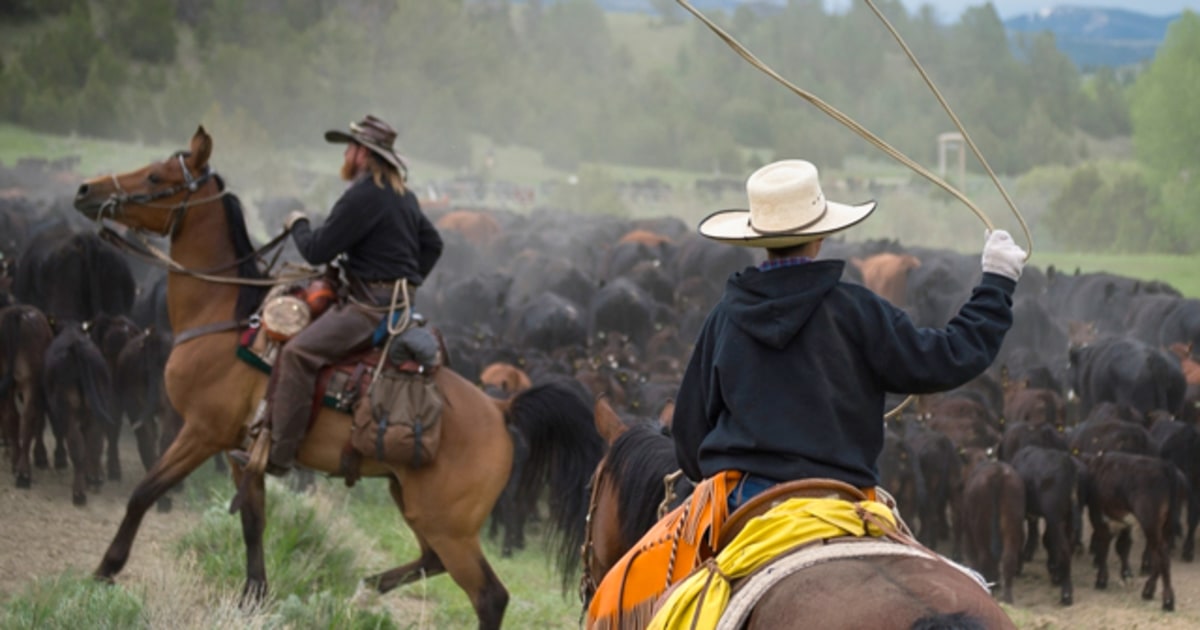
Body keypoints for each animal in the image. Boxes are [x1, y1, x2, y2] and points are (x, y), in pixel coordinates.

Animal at [70, 125, 604, 624]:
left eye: (155, 177)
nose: (85, 190)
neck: (225, 316)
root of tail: (500, 407)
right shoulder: (243, 449)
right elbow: (252, 521)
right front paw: (254, 596)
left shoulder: (203, 433)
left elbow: (144, 493)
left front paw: (104, 571)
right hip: (415, 501)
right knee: (432, 560)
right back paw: (366, 589)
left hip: (447, 523)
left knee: (489, 596)